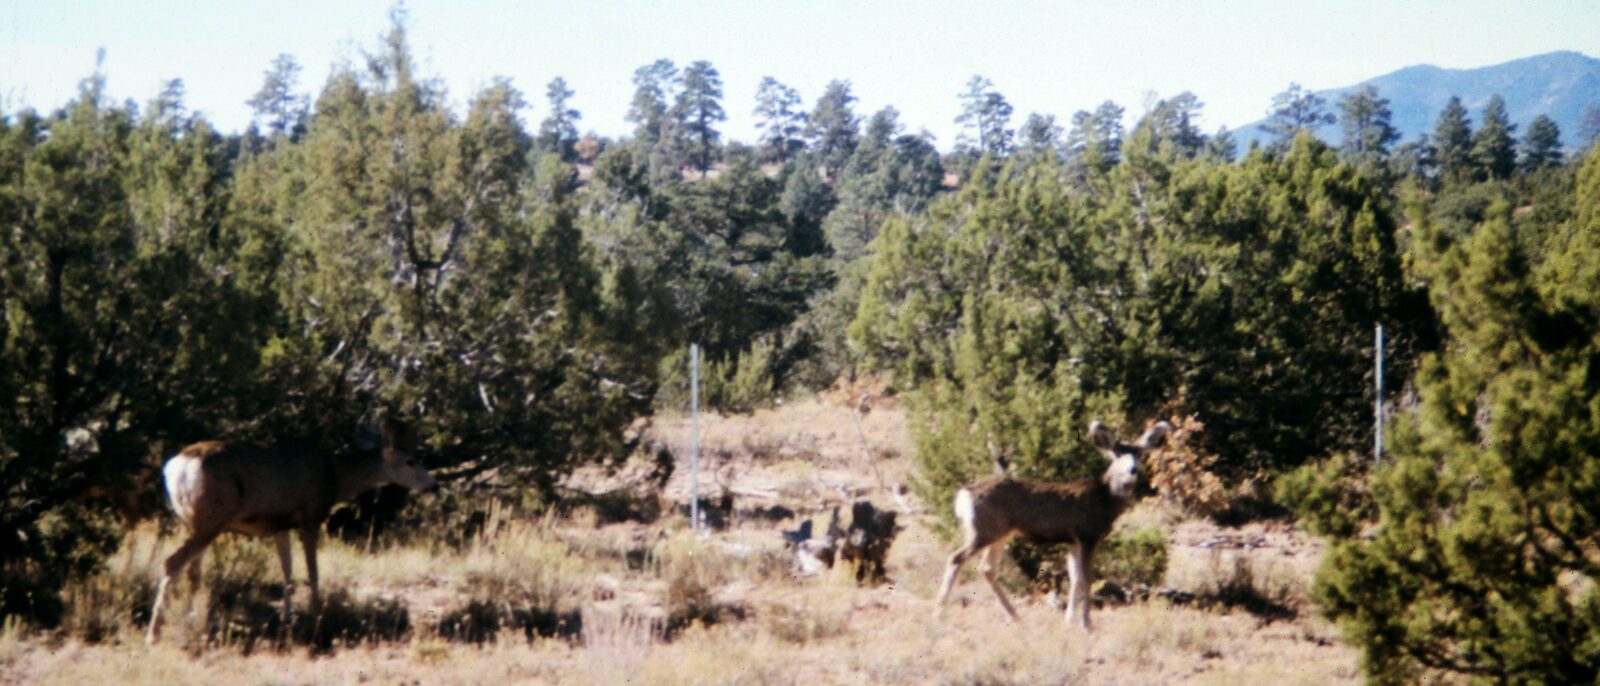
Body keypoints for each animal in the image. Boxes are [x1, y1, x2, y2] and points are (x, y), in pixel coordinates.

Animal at [144, 420, 436, 645]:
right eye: (410, 461)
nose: (431, 484)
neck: (336, 476)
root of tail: (178, 467)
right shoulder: (310, 517)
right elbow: (312, 572)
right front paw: (317, 615)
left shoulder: (279, 526)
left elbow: (287, 572)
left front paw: (287, 618)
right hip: (210, 518)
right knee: (172, 563)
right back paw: (153, 635)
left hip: (192, 520)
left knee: (193, 573)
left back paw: (190, 621)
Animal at [935, 419, 1170, 630]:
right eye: (1117, 453)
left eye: (1139, 453)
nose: (1132, 470)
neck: (1105, 498)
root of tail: (965, 494)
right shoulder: (1087, 535)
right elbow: (1087, 579)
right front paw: (1087, 624)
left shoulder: (1073, 541)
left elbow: (1075, 579)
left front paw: (1069, 621)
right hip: (984, 530)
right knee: (955, 558)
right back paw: (939, 612)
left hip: (999, 533)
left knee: (986, 568)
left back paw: (1016, 617)